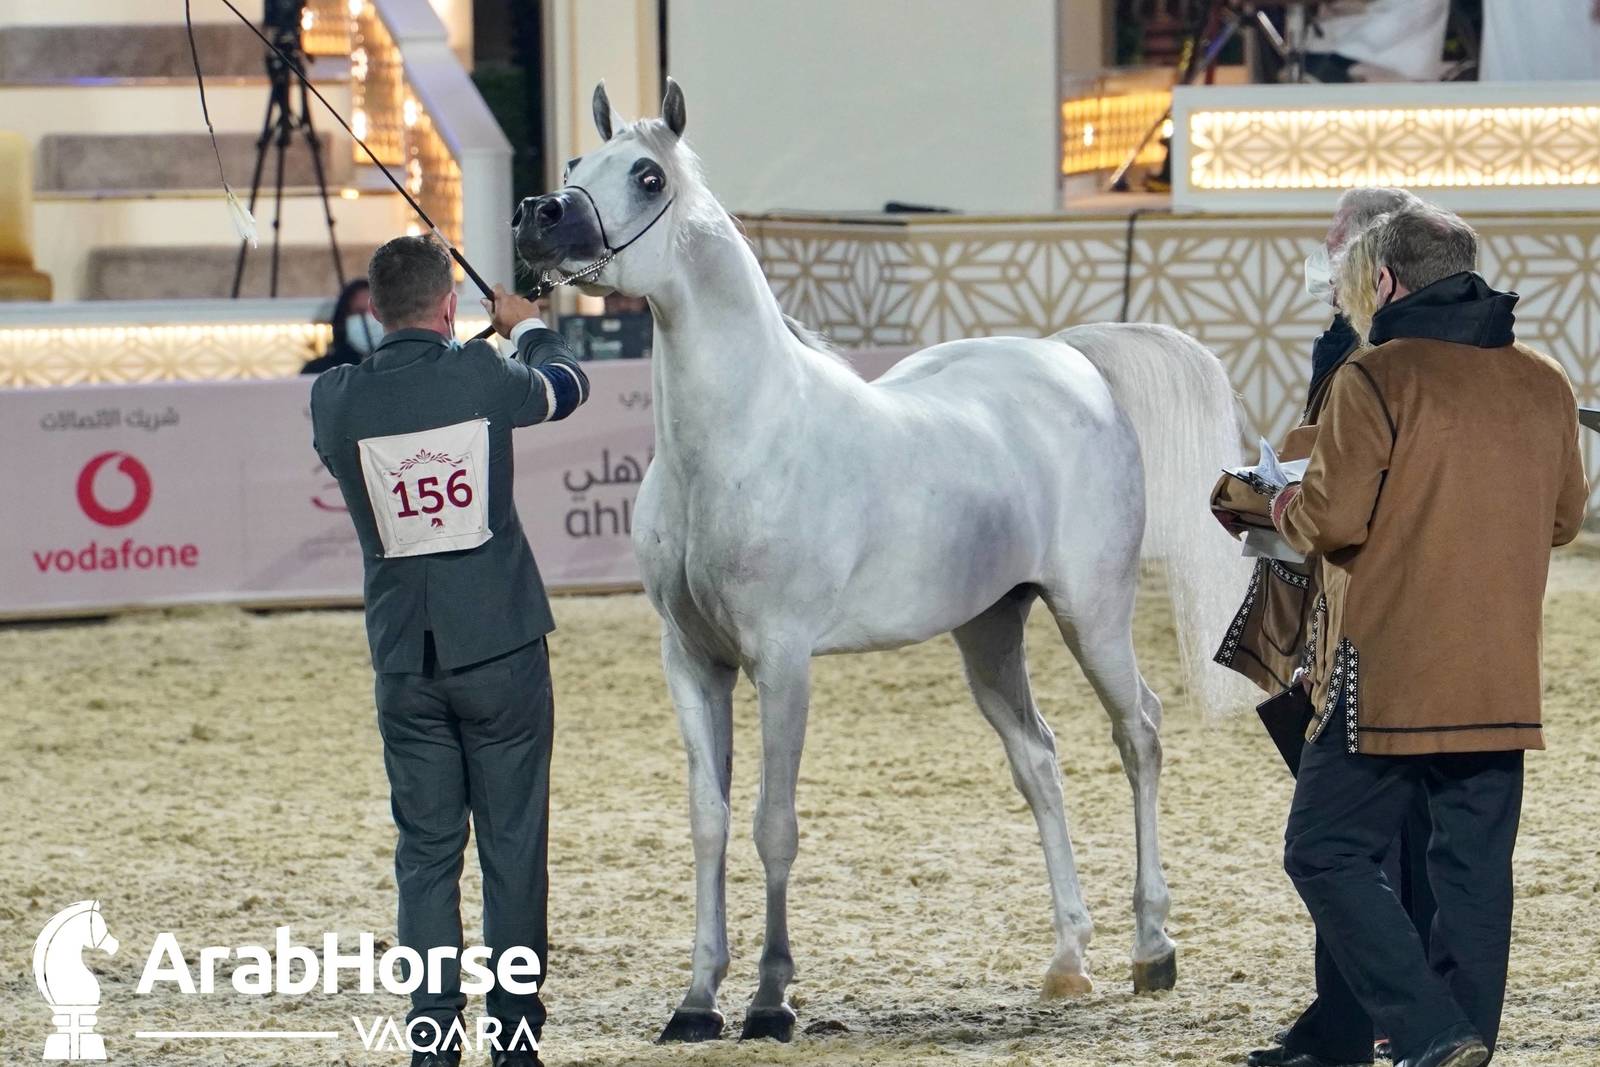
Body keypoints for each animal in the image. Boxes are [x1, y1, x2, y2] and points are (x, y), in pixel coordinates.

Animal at [514, 79, 1250, 1043]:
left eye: (646, 174)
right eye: (574, 163)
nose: (538, 217)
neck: (743, 438)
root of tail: (1070, 359)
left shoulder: (783, 661)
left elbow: (773, 823)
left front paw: (771, 999)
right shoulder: (693, 661)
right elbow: (710, 823)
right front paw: (697, 999)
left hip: (1093, 613)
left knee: (1142, 733)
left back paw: (1152, 948)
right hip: (988, 631)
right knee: (1040, 759)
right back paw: (1067, 960)